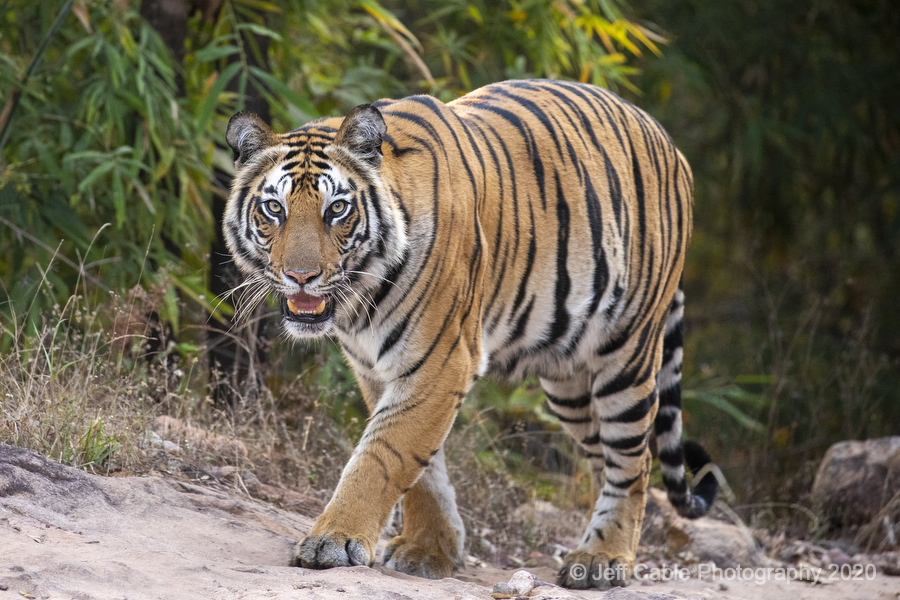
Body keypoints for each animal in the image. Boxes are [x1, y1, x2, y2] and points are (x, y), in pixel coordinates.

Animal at [222, 78, 718, 589]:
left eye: (337, 209)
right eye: (274, 209)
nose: (301, 277)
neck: (360, 300)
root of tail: (667, 140)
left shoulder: (441, 360)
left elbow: (383, 455)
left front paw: (334, 540)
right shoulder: (377, 370)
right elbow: (421, 467)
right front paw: (429, 549)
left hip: (625, 355)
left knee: (634, 460)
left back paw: (605, 558)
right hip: (571, 385)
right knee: (606, 459)